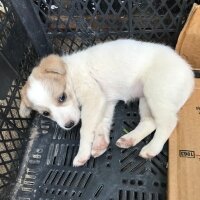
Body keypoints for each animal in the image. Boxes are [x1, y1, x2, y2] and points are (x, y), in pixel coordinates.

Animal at [19, 38, 195, 166]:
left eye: (62, 97)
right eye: (45, 113)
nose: (69, 125)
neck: (72, 75)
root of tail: (191, 75)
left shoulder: (93, 98)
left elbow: (86, 129)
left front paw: (82, 153)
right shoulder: (106, 102)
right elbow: (102, 124)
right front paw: (100, 144)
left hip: (156, 93)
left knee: (168, 122)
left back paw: (152, 148)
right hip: (146, 99)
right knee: (151, 122)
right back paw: (130, 139)